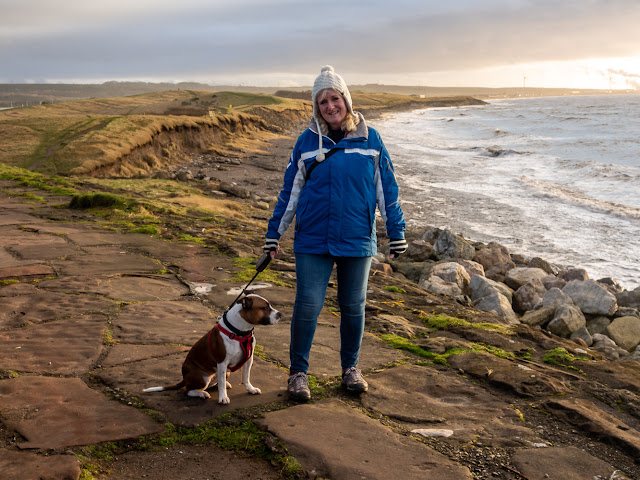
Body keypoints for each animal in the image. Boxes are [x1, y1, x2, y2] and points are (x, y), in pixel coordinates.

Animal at [144, 294, 282, 404]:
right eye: (265, 308)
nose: (280, 314)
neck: (240, 332)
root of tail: (184, 378)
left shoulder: (248, 359)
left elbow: (246, 377)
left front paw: (250, 389)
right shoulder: (222, 362)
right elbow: (222, 384)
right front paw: (223, 398)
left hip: (224, 372)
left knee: (216, 382)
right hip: (203, 377)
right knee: (188, 390)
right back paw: (202, 393)